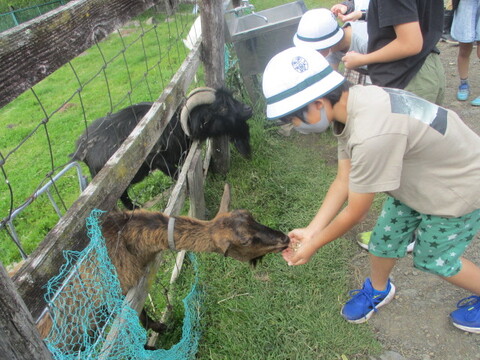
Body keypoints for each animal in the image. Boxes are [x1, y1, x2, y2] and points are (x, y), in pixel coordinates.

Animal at [72, 87, 251, 210]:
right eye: (222, 108)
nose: (248, 109)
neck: (173, 127)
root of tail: (80, 148)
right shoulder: (158, 161)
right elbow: (177, 175)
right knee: (122, 197)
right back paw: (135, 208)